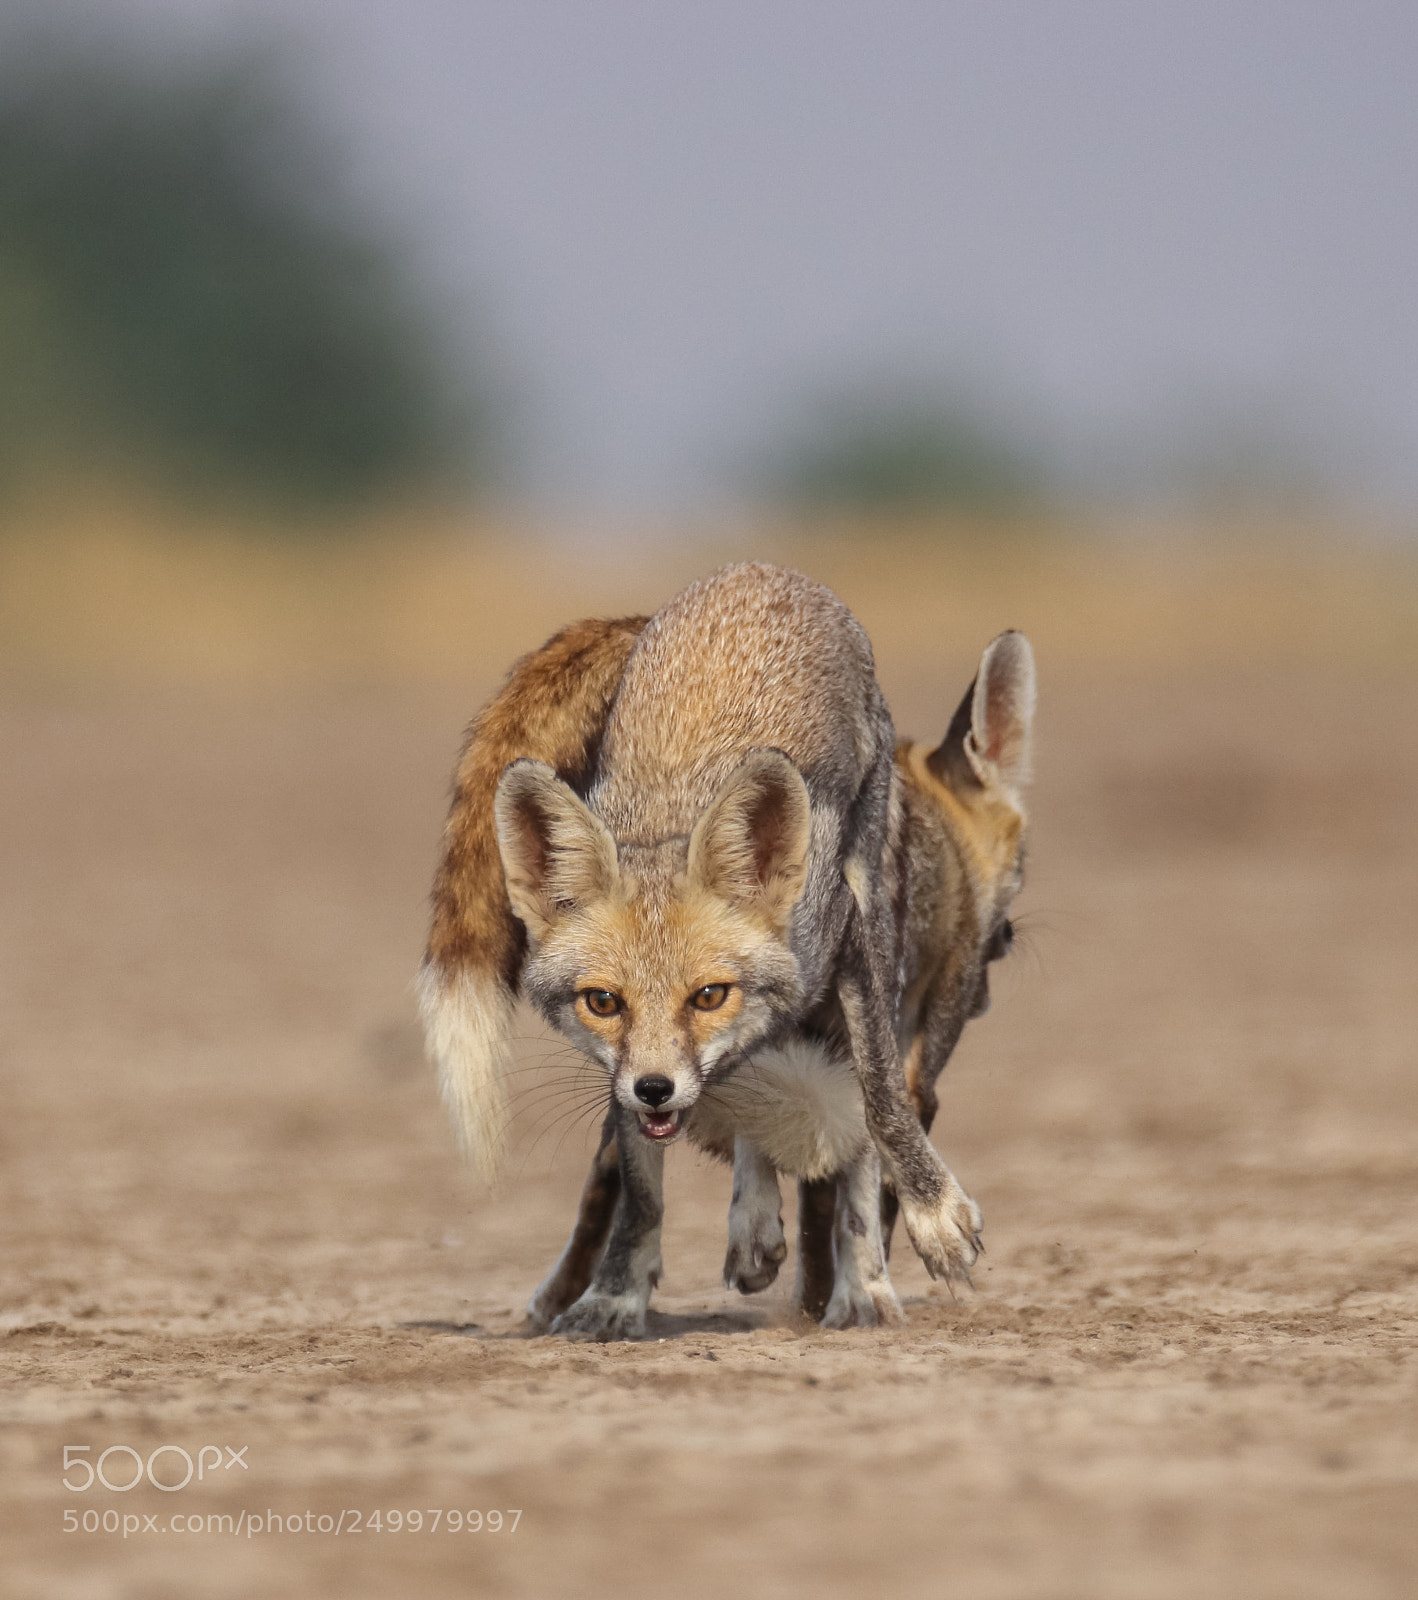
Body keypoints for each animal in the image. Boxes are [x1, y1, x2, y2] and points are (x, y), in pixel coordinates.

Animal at [419, 563, 1035, 1340]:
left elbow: (875, 1114)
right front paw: (616, 1296)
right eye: (602, 1002)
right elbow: (643, 1193)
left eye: (709, 994)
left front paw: (892, 1253)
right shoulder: (631, 1074)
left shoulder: (857, 953)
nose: (655, 1088)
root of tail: (748, 573)